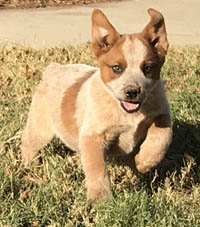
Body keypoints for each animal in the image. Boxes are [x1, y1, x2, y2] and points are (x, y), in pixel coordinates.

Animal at [21, 8, 173, 204]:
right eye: (116, 68)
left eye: (147, 68)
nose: (132, 92)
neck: (127, 113)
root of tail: (54, 69)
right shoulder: (93, 136)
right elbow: (97, 169)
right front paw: (101, 200)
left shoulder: (162, 113)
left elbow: (163, 136)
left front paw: (145, 161)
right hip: (41, 128)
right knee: (27, 141)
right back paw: (30, 165)